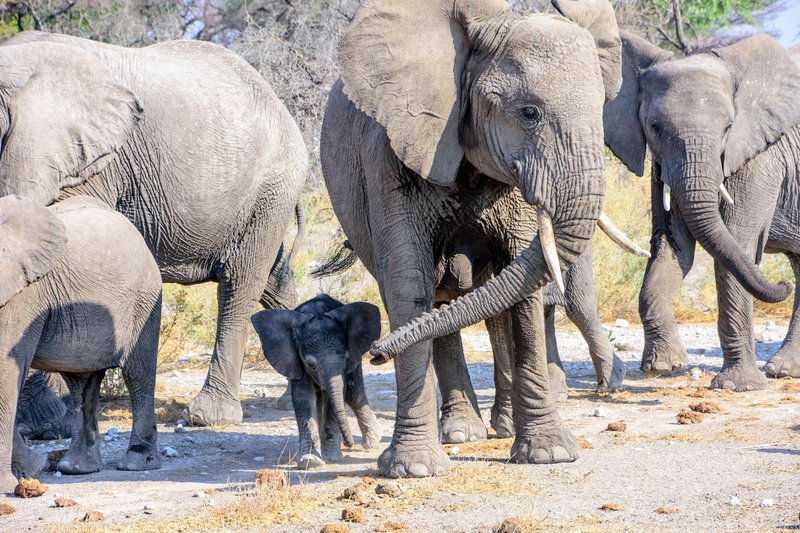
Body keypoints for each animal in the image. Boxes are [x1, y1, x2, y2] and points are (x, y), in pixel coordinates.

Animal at [0, 32, 308, 424]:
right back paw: (291, 397)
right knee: (274, 282)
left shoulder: (88, 161)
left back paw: (209, 415)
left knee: (240, 284)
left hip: (270, 192)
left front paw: (44, 420)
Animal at [0, 195, 163, 490]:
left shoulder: (23, 293)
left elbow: (5, 371)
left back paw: (137, 463)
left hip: (144, 297)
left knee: (137, 374)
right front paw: (30, 470)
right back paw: (75, 468)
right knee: (81, 385)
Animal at [253, 294, 384, 468]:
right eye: (310, 364)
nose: (348, 444)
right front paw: (311, 461)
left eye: (345, 359)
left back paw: (372, 442)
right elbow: (303, 397)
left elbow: (336, 397)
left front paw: (332, 458)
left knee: (353, 393)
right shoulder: (295, 358)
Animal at [322, 0, 620, 476]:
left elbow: (522, 290)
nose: (377, 353)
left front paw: (548, 454)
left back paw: (499, 427)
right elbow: (408, 286)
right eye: (529, 112)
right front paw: (414, 470)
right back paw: (461, 433)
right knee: (435, 298)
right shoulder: (387, 156)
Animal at [604, 33, 800, 388]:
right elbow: (672, 247)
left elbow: (737, 244)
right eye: (654, 127)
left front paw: (737, 386)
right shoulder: (661, 164)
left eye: (728, 127)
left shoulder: (759, 157)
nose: (781, 286)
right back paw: (783, 370)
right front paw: (663, 366)